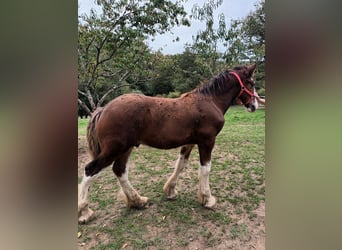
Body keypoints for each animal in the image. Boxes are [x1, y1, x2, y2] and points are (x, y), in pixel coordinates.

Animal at [78, 63, 260, 224]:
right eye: (251, 83)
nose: (254, 105)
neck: (210, 101)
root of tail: (103, 109)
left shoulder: (190, 143)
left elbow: (180, 165)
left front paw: (171, 191)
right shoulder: (207, 142)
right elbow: (205, 169)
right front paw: (207, 199)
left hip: (125, 149)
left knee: (119, 170)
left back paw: (138, 201)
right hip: (114, 150)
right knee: (90, 170)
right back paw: (84, 212)